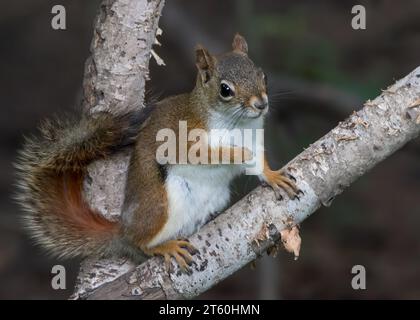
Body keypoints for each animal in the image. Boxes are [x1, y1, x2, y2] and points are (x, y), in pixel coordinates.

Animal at [15, 35, 298, 272]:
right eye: (225, 89)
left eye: (263, 75)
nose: (261, 104)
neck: (236, 124)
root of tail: (122, 232)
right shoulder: (183, 140)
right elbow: (208, 154)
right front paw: (237, 154)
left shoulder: (255, 137)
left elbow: (258, 163)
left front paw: (273, 176)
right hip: (159, 206)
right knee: (142, 244)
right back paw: (165, 247)